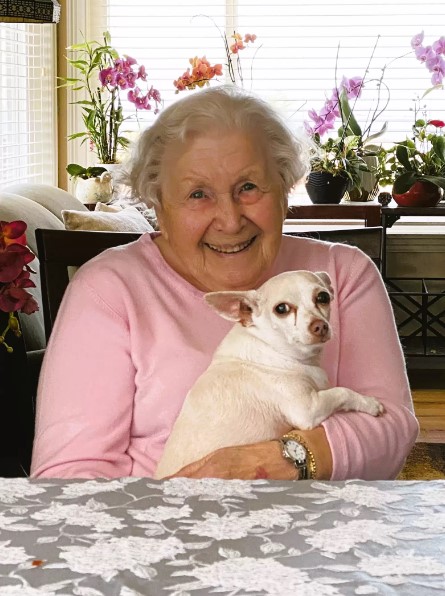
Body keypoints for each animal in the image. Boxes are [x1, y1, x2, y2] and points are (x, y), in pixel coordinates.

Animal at [154, 272, 384, 480]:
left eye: (323, 297)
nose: (319, 326)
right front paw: (370, 403)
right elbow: (342, 392)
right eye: (281, 309)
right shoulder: (308, 409)